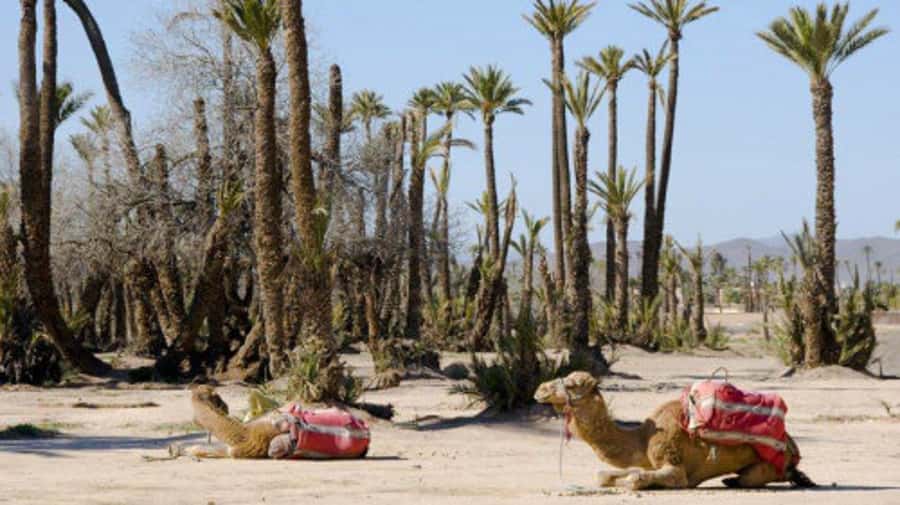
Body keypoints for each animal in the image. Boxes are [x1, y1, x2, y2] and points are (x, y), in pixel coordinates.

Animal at [534, 372, 815, 490]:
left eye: (573, 383)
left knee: (756, 477)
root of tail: (792, 447)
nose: (540, 389)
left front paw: (632, 482)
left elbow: (637, 480)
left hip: (770, 463)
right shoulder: (647, 462)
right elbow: (602, 475)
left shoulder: (673, 464)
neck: (641, 438)